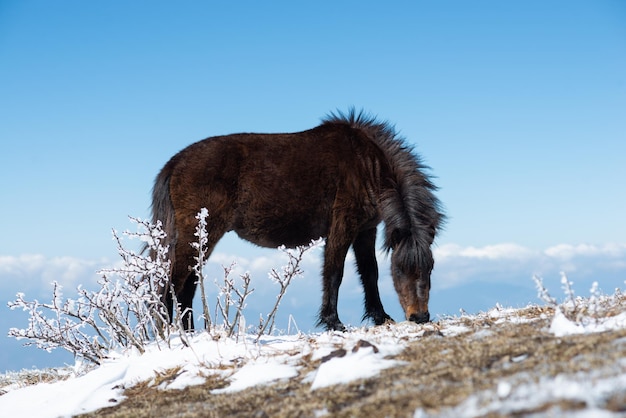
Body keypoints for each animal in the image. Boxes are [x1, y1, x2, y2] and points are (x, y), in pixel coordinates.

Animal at [150, 109, 444, 332]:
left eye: (430, 267)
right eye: (401, 269)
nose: (420, 316)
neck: (365, 165)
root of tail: (175, 163)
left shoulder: (366, 229)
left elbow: (369, 273)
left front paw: (380, 317)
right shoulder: (343, 225)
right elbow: (334, 272)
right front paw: (333, 322)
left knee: (188, 284)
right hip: (200, 233)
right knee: (172, 283)